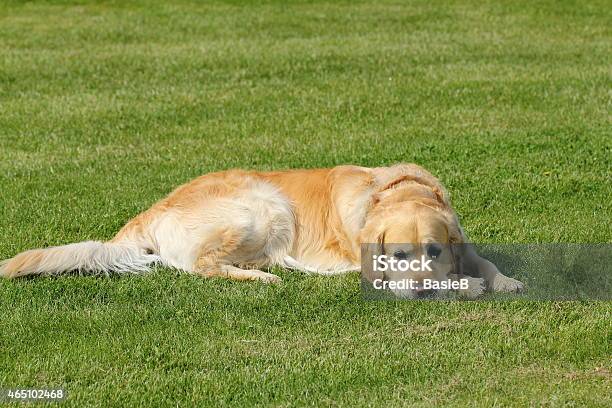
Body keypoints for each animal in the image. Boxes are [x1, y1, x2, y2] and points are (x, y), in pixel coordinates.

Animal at [2, 163, 524, 300]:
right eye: (396, 256)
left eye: (433, 250)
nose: (420, 292)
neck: (398, 190)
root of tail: (149, 211)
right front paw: (468, 286)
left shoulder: (460, 238)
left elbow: (483, 259)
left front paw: (503, 280)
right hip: (264, 205)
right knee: (201, 266)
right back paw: (264, 278)